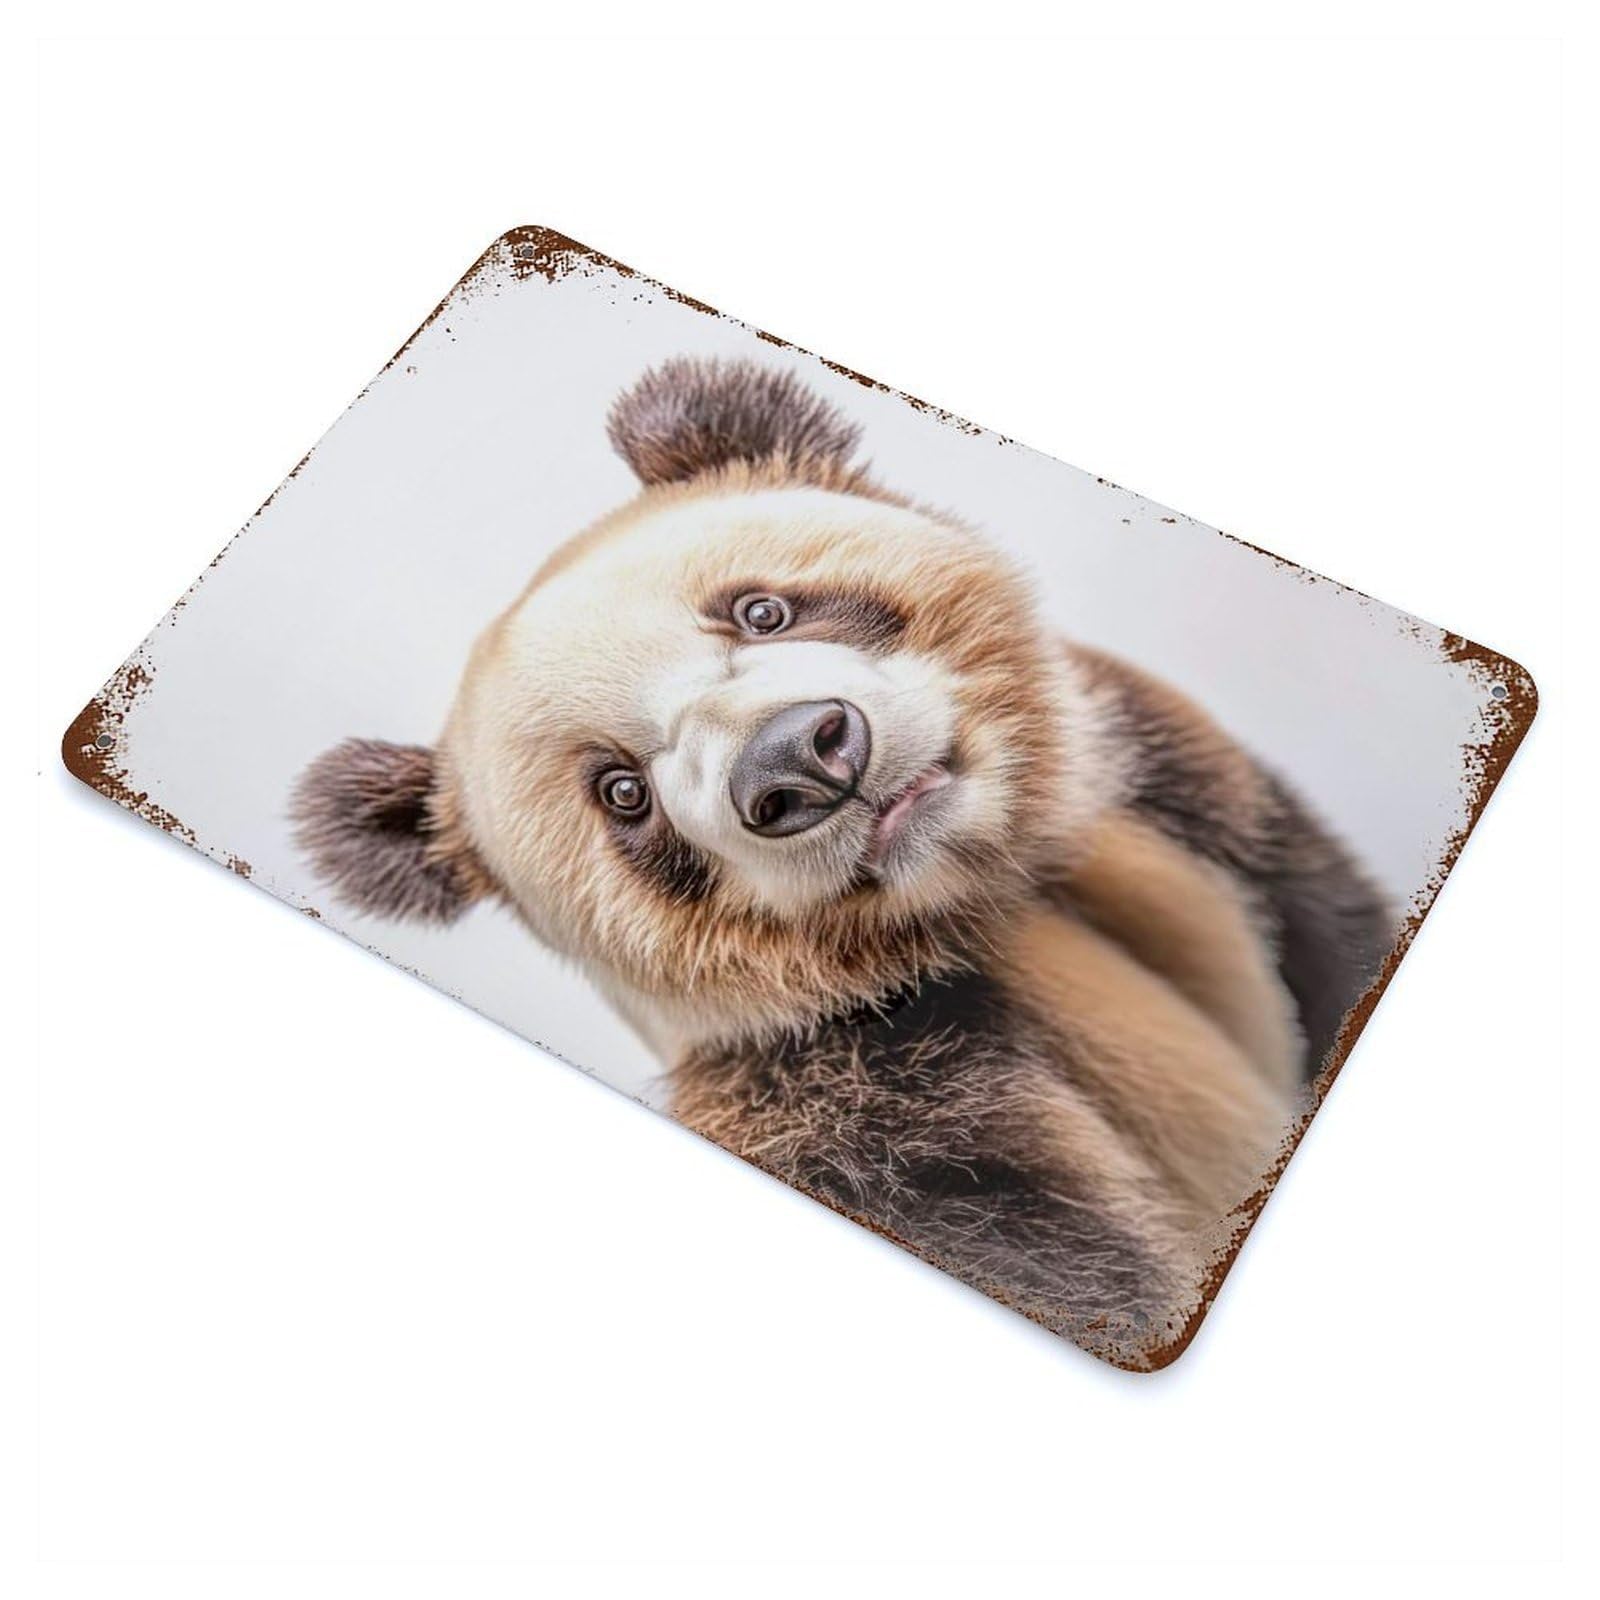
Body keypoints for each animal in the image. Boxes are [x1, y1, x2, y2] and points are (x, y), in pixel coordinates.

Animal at [293, 358, 1392, 1366]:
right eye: (622, 794)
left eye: (760, 611)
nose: (799, 762)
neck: (983, 902)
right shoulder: (847, 1102)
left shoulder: (1170, 791)